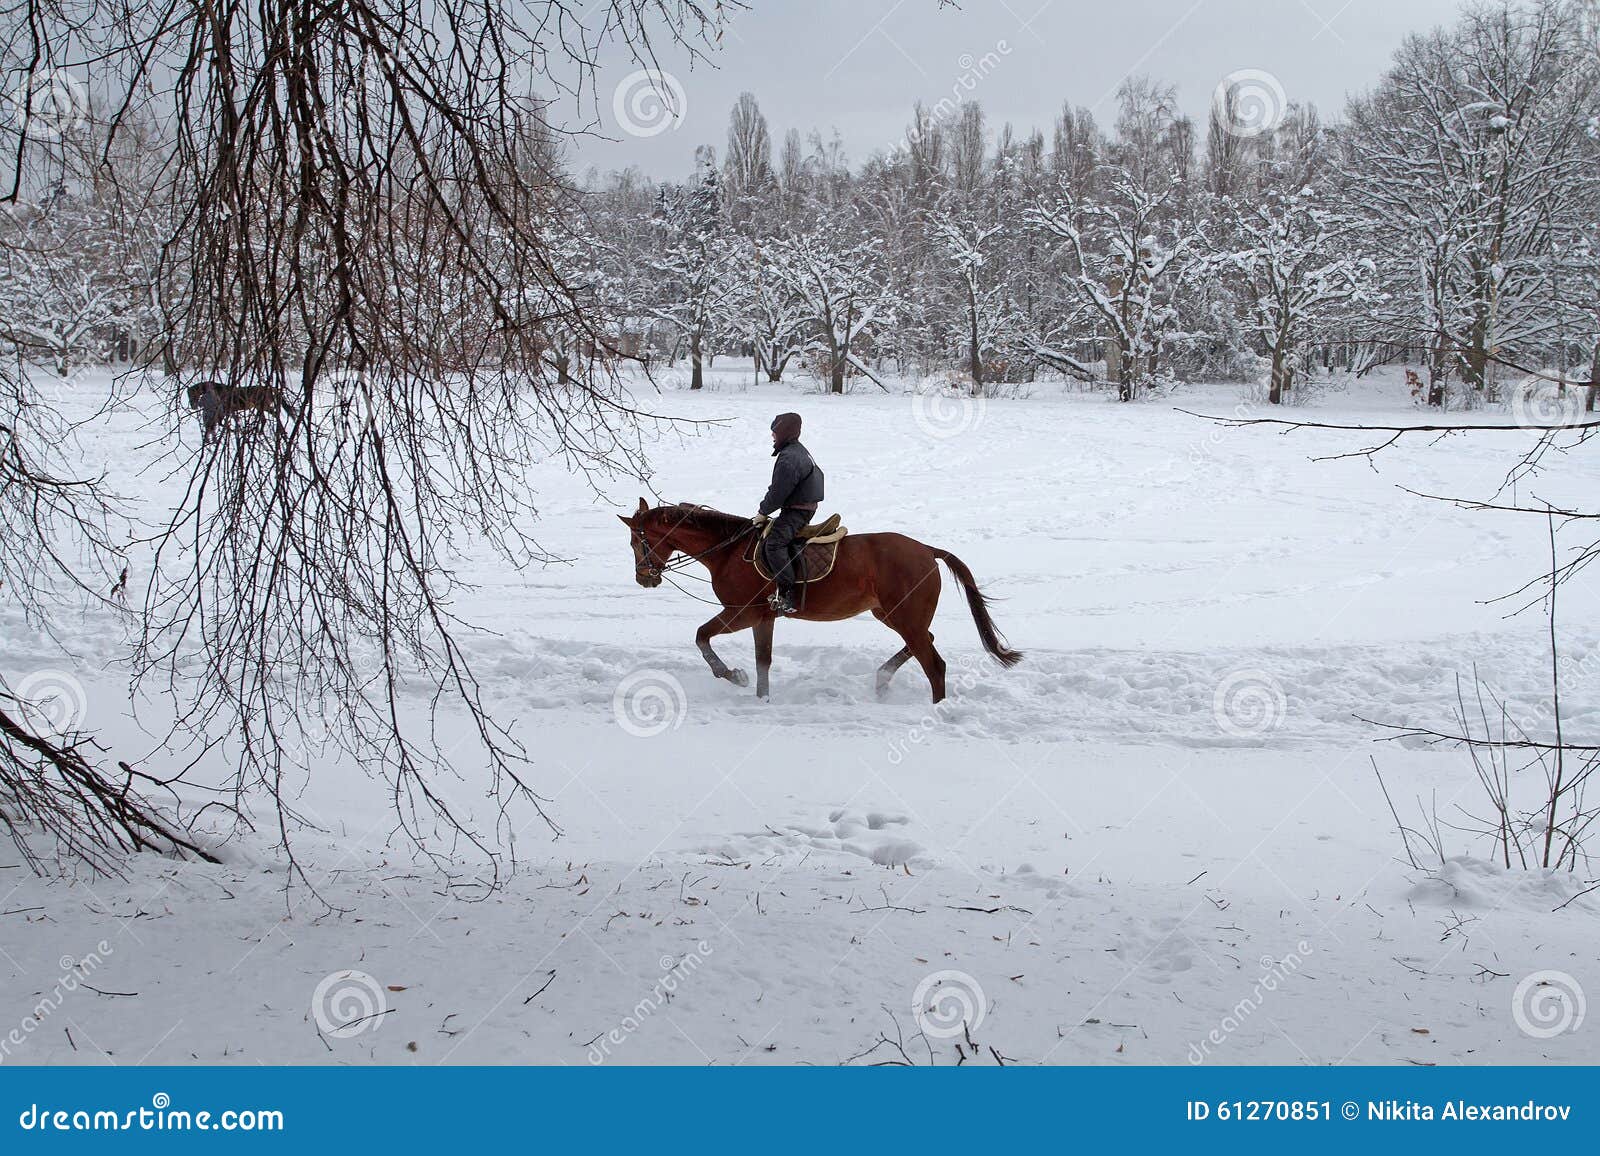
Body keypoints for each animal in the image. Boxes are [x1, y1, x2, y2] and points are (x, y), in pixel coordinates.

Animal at [617, 496, 1017, 698]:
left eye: (637, 540)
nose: (643, 578)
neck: (728, 551)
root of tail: (926, 550)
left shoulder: (743, 612)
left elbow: (702, 636)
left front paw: (732, 675)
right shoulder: (763, 618)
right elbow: (763, 661)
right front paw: (761, 697)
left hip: (905, 617)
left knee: (934, 665)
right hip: (893, 615)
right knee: (924, 642)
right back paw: (882, 678)